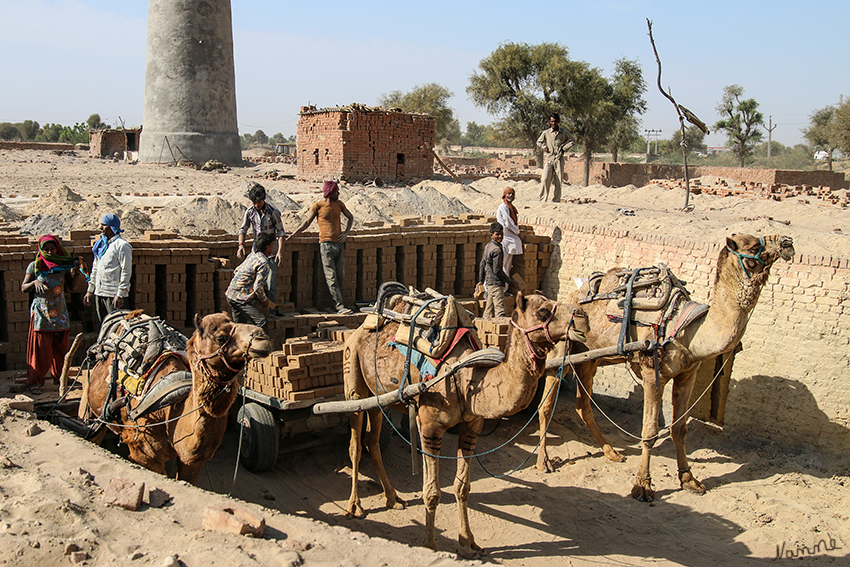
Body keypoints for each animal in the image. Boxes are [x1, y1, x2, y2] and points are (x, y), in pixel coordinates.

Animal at [81, 312, 270, 486]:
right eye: (220, 337)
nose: (261, 337)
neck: (169, 411)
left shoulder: (192, 462)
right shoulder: (144, 455)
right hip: (90, 402)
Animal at [342, 292, 588, 556]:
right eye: (542, 312)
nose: (583, 317)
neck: (464, 377)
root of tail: (358, 329)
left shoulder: (472, 425)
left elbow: (462, 487)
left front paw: (468, 540)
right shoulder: (429, 426)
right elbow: (432, 491)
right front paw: (430, 545)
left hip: (377, 397)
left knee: (372, 440)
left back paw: (393, 498)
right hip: (353, 376)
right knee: (355, 444)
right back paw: (355, 506)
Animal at [532, 233, 792, 504]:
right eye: (753, 246)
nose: (787, 242)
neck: (688, 329)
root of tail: (569, 296)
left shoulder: (687, 373)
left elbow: (679, 428)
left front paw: (689, 480)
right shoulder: (652, 373)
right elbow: (650, 431)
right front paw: (642, 487)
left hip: (588, 357)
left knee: (583, 404)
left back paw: (611, 452)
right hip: (561, 349)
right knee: (546, 404)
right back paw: (544, 461)